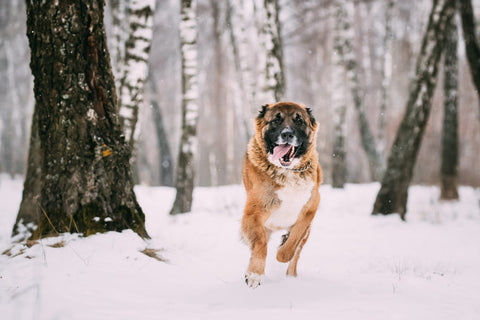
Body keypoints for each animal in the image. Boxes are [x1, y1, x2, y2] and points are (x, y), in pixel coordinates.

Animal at [240, 102, 322, 288]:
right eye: (276, 120)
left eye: (299, 121)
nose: (287, 134)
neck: (288, 170)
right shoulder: (253, 214)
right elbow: (261, 243)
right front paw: (254, 274)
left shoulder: (310, 210)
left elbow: (293, 241)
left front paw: (282, 252)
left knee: (296, 254)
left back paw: (291, 277)